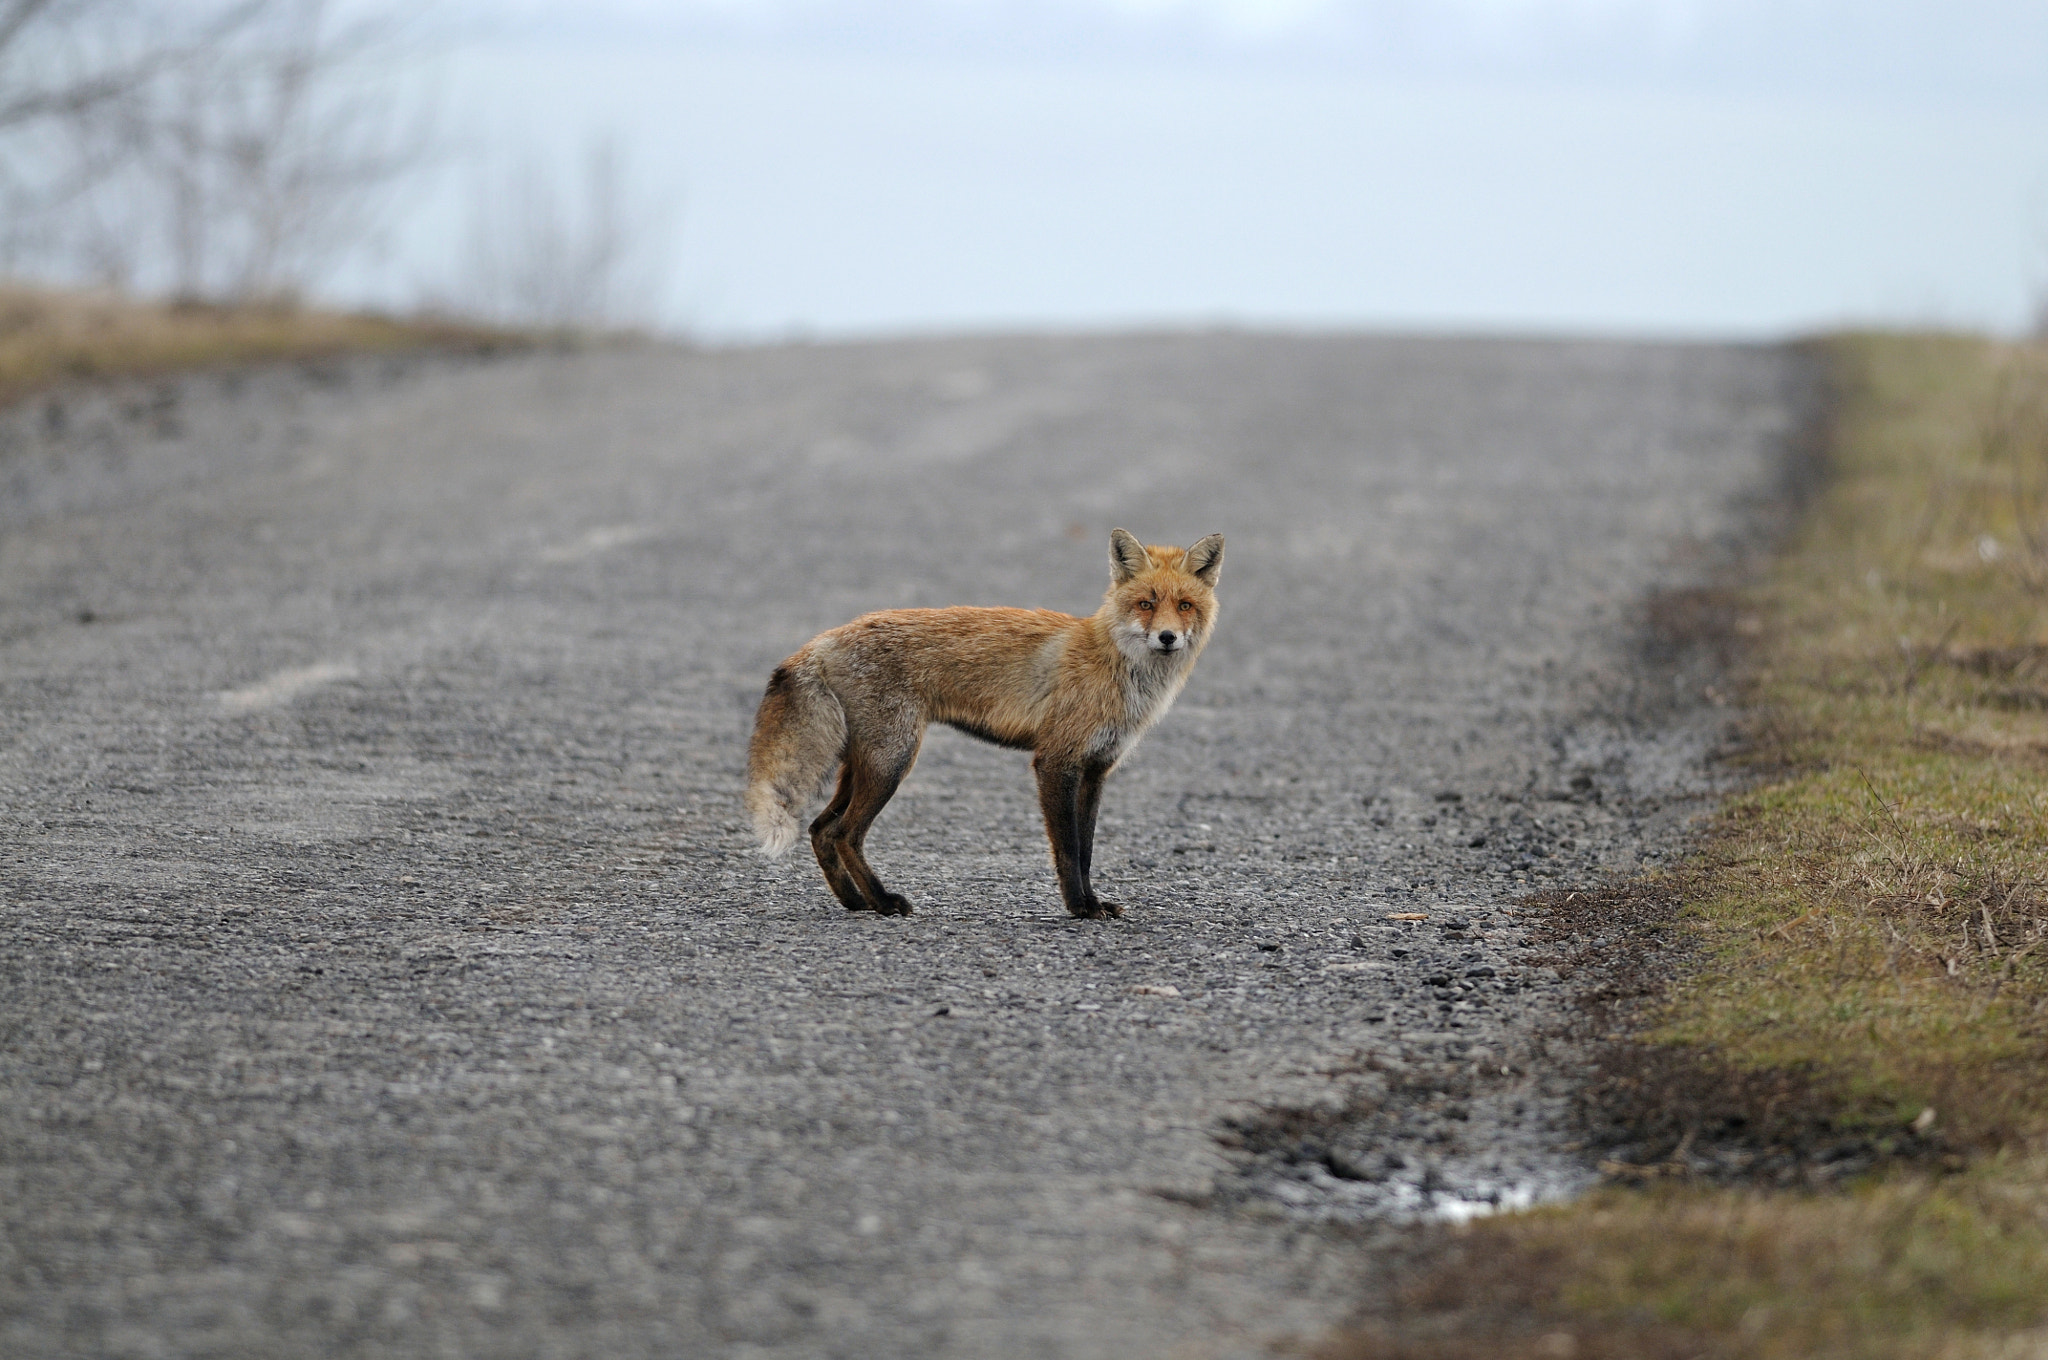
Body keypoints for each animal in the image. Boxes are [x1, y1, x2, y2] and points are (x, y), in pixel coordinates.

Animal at [761, 524, 1220, 917]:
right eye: (1146, 604)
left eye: (1185, 606)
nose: (1167, 637)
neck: (1115, 668)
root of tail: (828, 637)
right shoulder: (1055, 761)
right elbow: (1068, 850)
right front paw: (1079, 907)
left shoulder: (1096, 770)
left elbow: (1087, 850)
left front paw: (1093, 902)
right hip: (892, 762)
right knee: (845, 833)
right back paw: (883, 901)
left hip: (865, 764)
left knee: (820, 830)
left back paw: (856, 902)